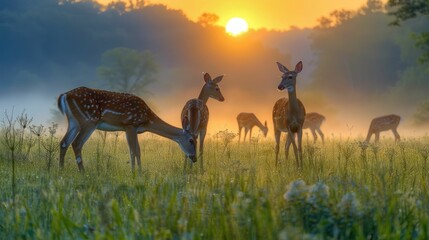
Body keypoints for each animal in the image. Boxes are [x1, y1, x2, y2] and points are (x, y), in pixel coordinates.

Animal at [58, 86, 196, 172]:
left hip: (74, 121)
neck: (148, 120)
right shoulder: (130, 124)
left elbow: (136, 150)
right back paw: (83, 172)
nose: (194, 158)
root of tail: (65, 95)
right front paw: (136, 174)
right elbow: (134, 151)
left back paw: (61, 170)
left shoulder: (131, 129)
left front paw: (137, 173)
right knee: (76, 143)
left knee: (64, 142)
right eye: (191, 140)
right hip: (89, 120)